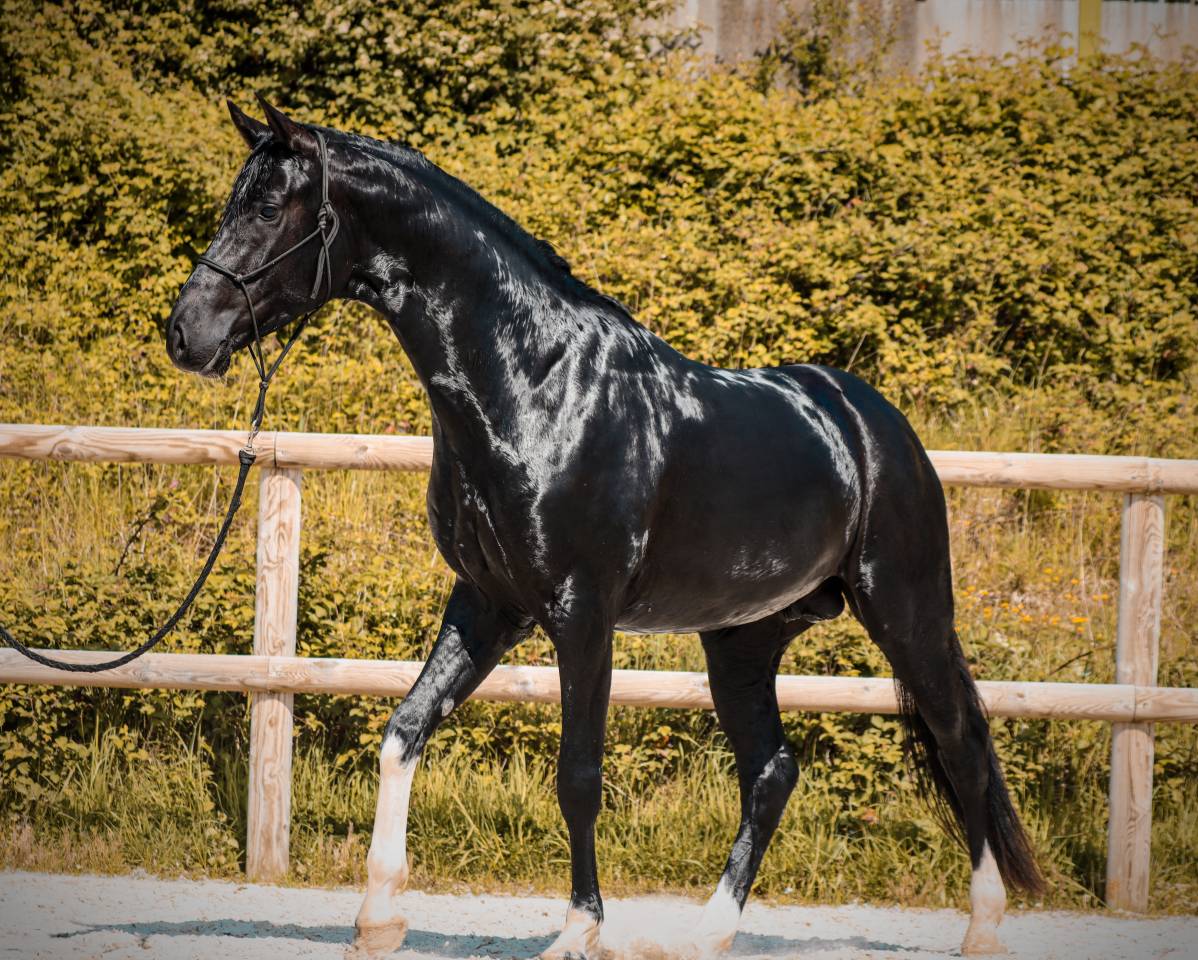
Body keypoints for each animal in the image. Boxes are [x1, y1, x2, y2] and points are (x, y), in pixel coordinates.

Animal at [166, 98, 1044, 959]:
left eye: (269, 209)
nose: (186, 333)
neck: (535, 383)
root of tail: (873, 423)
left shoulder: (580, 614)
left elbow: (578, 776)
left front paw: (579, 930)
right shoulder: (487, 604)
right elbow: (403, 730)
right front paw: (377, 921)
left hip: (906, 613)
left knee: (963, 744)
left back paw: (984, 927)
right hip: (743, 640)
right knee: (772, 772)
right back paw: (707, 935)